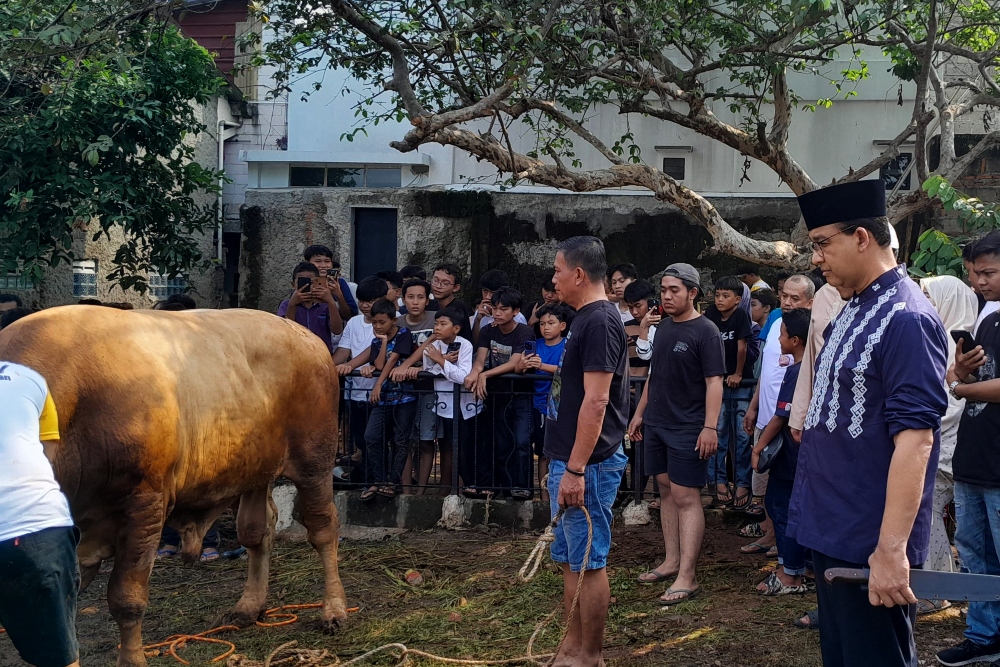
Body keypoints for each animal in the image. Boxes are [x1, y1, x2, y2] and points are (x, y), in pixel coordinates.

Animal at [0, 308, 348, 667]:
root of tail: (306, 337)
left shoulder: (144, 507)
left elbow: (126, 598)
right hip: (254, 468)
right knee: (256, 530)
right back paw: (249, 606)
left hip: (314, 462)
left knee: (323, 530)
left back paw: (333, 610)